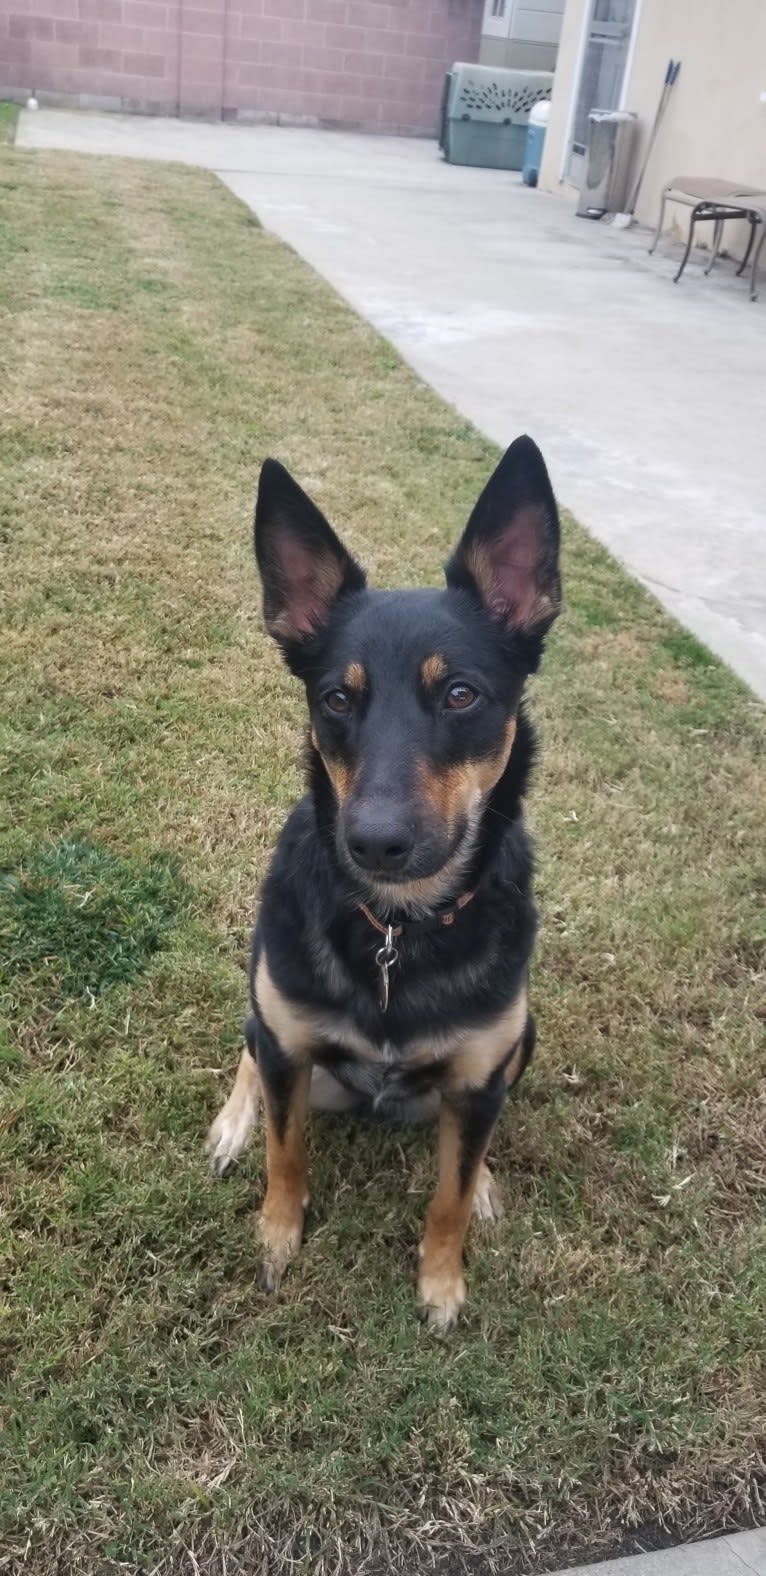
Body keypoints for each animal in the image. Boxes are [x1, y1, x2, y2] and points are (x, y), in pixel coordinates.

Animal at [209, 431, 561, 1330]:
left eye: (461, 693)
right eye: (337, 697)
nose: (374, 842)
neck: (397, 929)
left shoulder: (479, 1079)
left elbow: (449, 1194)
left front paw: (442, 1280)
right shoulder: (289, 1048)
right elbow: (286, 1153)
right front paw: (278, 1235)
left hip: (522, 1044)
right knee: (249, 1049)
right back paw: (232, 1121)